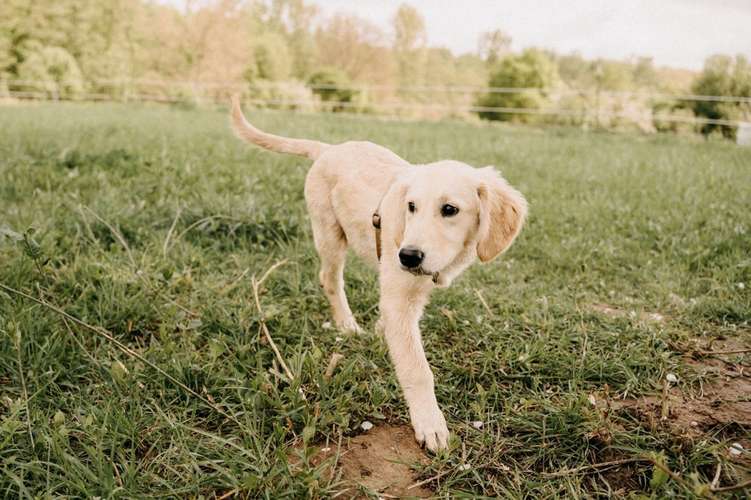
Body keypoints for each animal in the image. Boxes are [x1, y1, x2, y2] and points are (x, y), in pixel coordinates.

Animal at [231, 98, 528, 454]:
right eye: (411, 206)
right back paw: (347, 324)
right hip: (330, 235)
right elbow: (417, 369)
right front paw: (430, 424)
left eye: (450, 210)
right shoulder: (400, 296)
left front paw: (382, 331)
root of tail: (329, 149)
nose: (407, 256)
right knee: (330, 279)